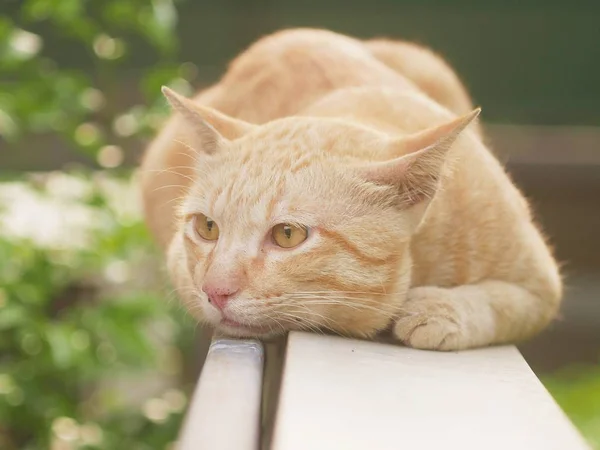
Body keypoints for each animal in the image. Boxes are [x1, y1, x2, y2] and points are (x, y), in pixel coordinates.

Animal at [142, 28, 564, 352]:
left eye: (287, 235)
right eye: (207, 228)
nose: (215, 291)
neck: (420, 260)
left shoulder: (541, 285)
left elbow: (498, 302)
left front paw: (440, 309)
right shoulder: (178, 262)